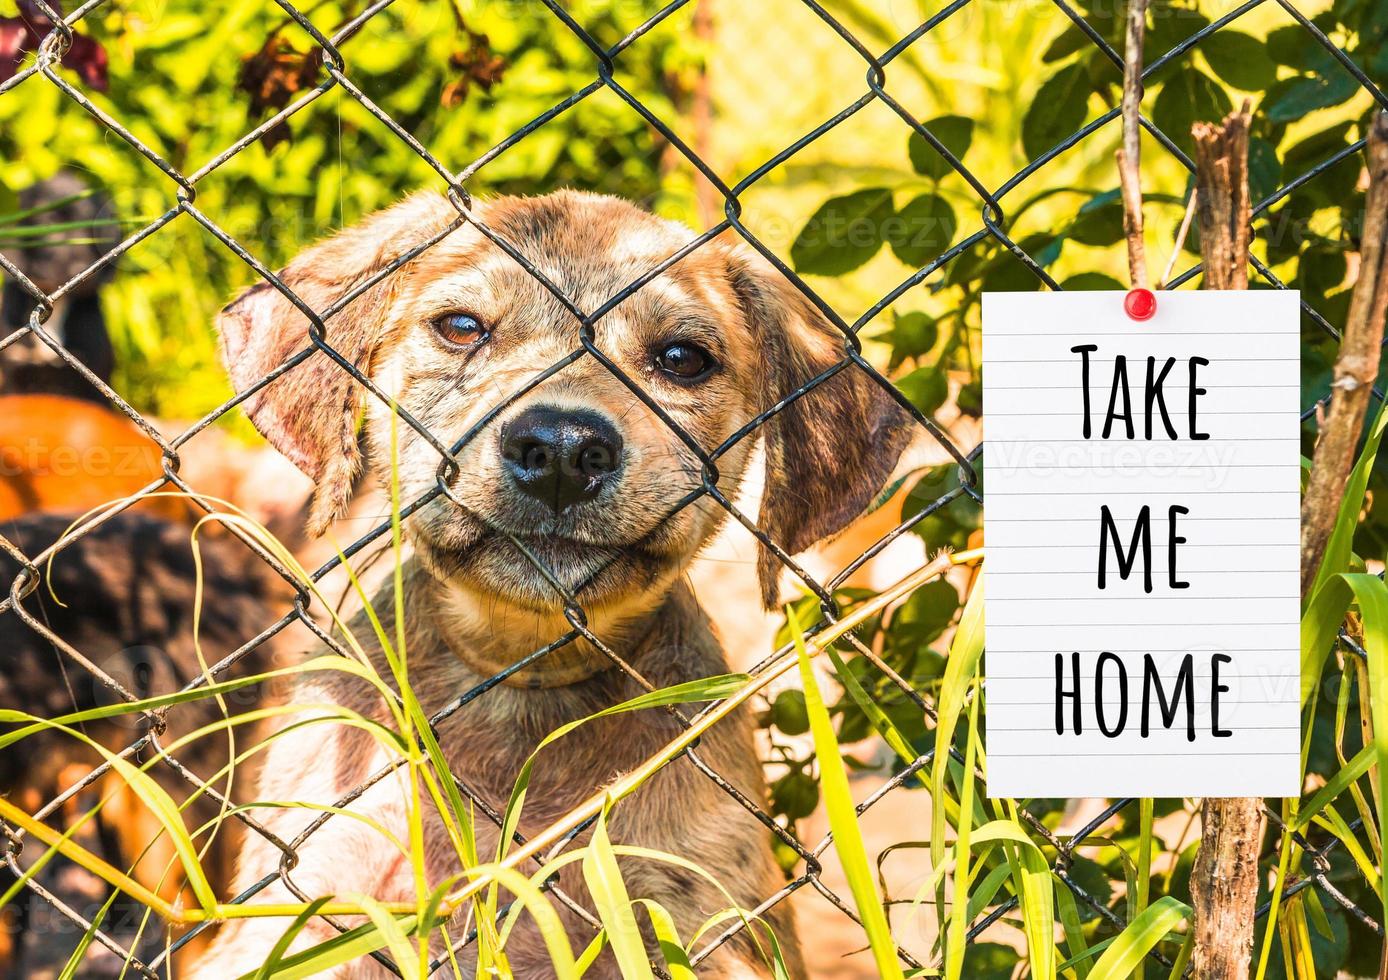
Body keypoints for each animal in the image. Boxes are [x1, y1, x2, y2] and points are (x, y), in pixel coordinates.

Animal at [192, 187, 910, 971]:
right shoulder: (302, 907)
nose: (564, 448)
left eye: (683, 359)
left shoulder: (706, 924)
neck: (523, 678)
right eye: (461, 327)